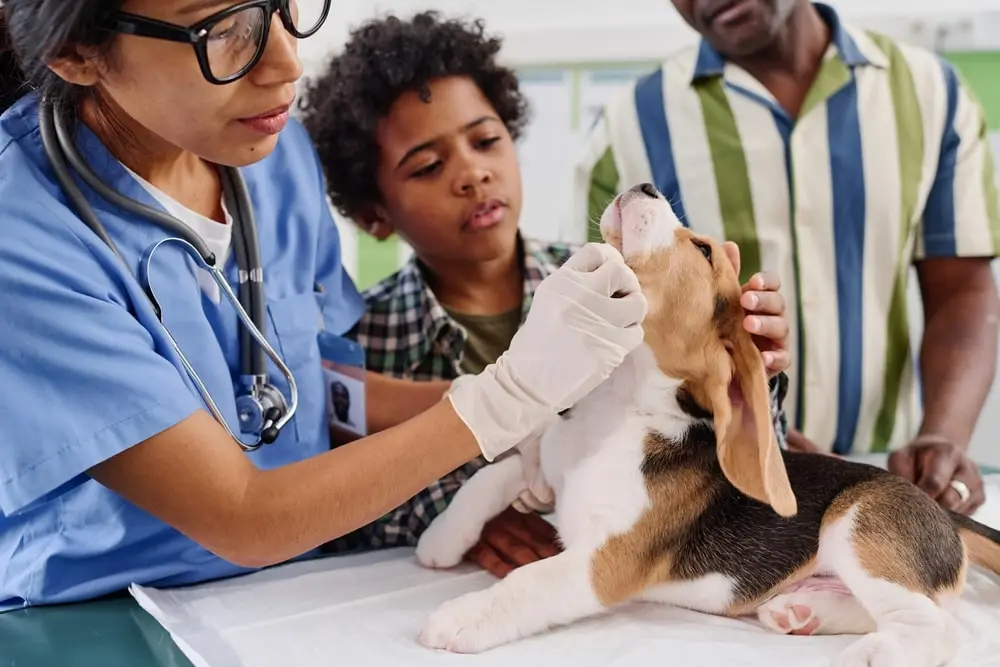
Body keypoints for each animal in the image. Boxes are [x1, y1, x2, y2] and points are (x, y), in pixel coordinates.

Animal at [408, 183, 1000, 667]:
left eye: (703, 250)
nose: (647, 184)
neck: (620, 409)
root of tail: (944, 511)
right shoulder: (548, 473)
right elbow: (495, 475)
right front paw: (442, 538)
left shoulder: (605, 561)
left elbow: (529, 579)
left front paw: (463, 615)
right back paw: (801, 613)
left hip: (855, 523)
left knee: (936, 626)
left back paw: (872, 654)